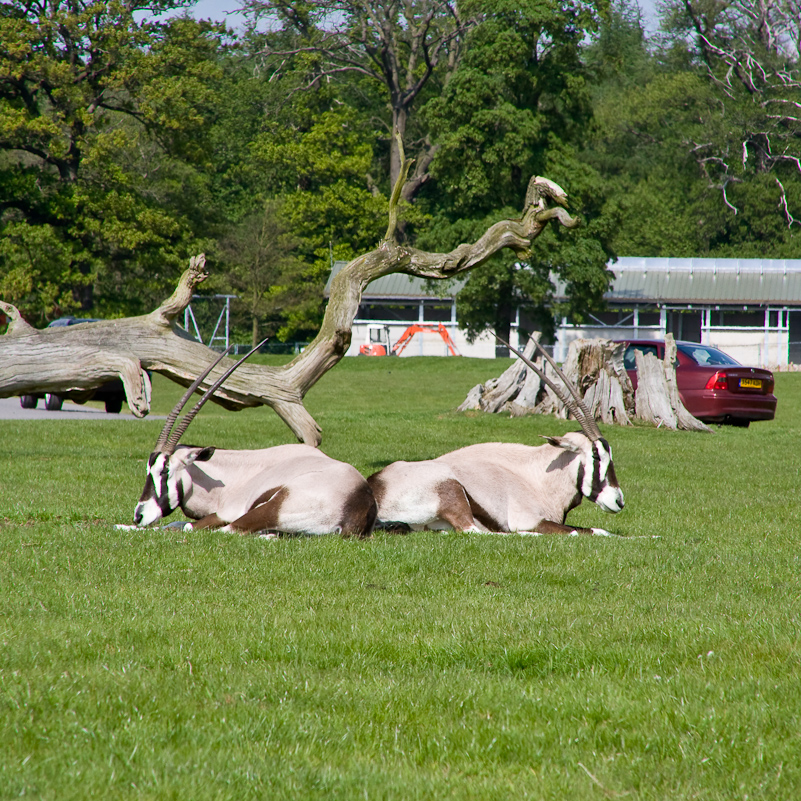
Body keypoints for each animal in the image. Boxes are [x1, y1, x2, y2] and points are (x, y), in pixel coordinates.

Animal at [134, 344, 376, 536]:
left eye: (165, 471)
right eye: (148, 470)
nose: (139, 516)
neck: (231, 474)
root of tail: (355, 501)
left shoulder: (225, 513)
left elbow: (181, 526)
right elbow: (173, 523)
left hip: (267, 509)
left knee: (224, 531)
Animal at [368, 338, 624, 536]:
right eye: (596, 456)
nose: (619, 501)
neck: (536, 477)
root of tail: (376, 486)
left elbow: (603, 531)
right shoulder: (529, 519)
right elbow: (584, 532)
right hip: (452, 490)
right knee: (475, 531)